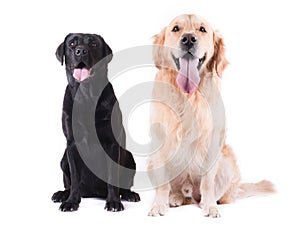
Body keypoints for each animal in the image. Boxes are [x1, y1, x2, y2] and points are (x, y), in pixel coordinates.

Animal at [52, 33, 140, 212]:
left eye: (93, 44)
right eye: (72, 44)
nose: (81, 51)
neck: (87, 95)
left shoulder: (111, 143)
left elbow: (113, 177)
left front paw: (113, 202)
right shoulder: (72, 144)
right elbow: (74, 177)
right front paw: (71, 202)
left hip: (129, 157)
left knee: (125, 185)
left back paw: (129, 194)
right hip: (63, 159)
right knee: (68, 183)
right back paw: (62, 194)